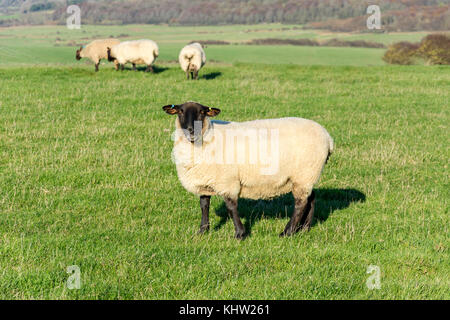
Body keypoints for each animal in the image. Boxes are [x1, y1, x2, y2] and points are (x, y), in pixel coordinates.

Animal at [163, 101, 334, 239]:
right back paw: (304, 228)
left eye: (202, 112)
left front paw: (240, 234)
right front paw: (203, 231)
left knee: (300, 204)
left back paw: (287, 232)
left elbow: (231, 207)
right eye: (180, 111)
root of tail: (328, 137)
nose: (191, 130)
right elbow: (204, 205)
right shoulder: (204, 179)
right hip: (305, 177)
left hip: (305, 173)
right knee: (311, 199)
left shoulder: (227, 181)